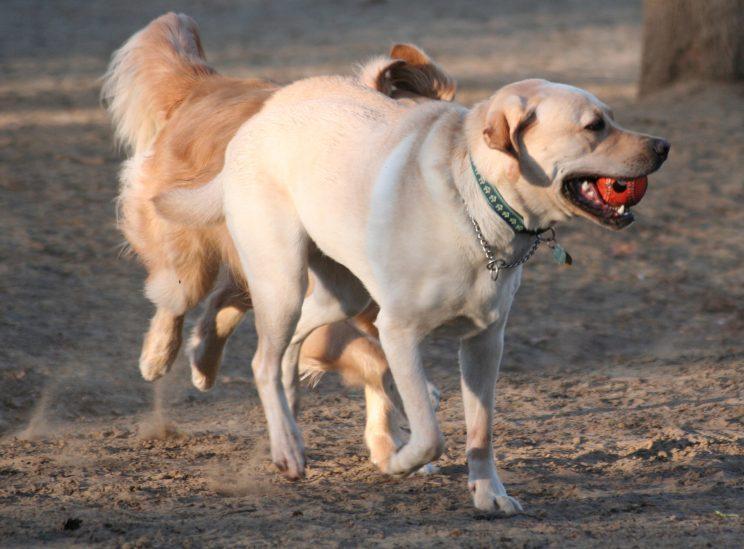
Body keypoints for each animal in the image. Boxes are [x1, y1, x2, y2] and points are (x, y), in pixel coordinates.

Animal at [102, 12, 454, 466]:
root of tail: (205, 84)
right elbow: (375, 362)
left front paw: (385, 442)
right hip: (195, 250)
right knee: (177, 298)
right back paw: (158, 356)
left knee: (226, 299)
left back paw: (204, 361)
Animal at [160, 71, 672, 510]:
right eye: (594, 126)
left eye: (610, 117)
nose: (664, 145)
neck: (475, 207)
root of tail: (254, 124)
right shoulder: (398, 333)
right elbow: (429, 435)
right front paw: (399, 462)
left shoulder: (485, 342)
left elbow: (481, 431)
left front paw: (489, 493)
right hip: (283, 278)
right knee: (262, 360)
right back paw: (286, 447)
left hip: (342, 292)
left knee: (290, 345)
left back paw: (286, 410)